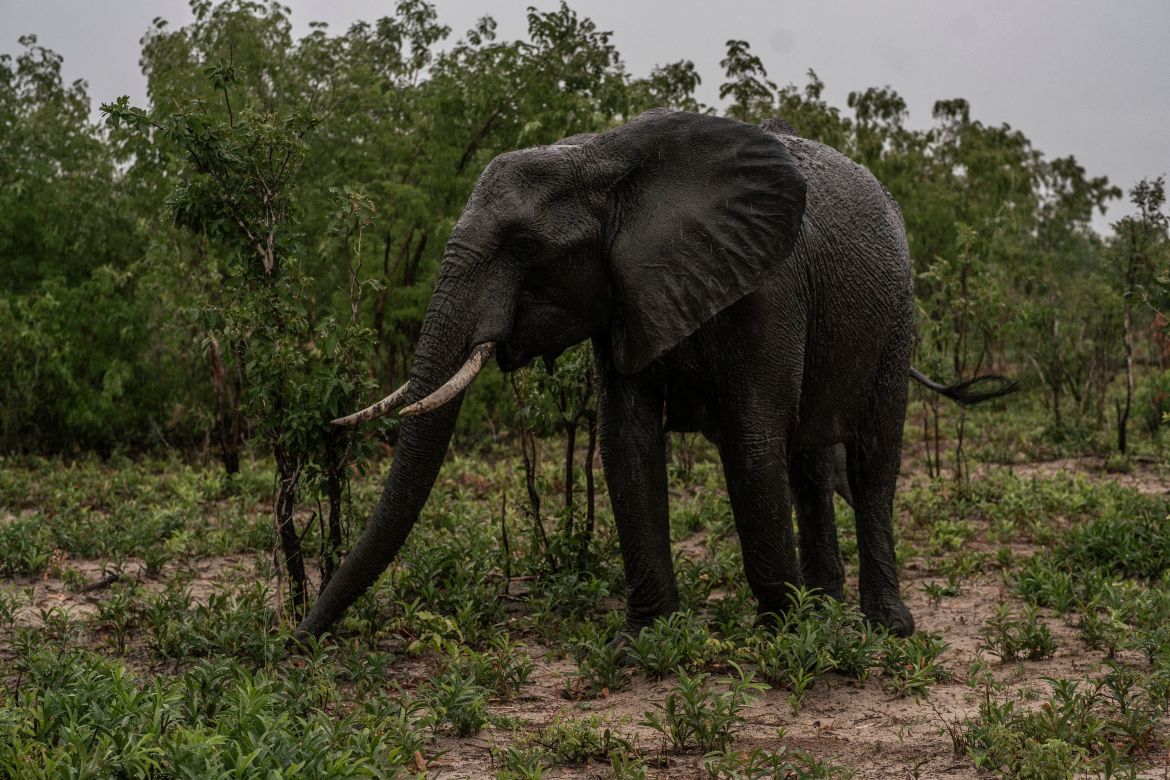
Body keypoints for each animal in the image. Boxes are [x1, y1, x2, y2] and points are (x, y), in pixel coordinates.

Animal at [297, 108, 1013, 641]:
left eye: (525, 247)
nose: (296, 642)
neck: (604, 160)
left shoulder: (771, 286)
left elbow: (751, 443)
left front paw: (783, 639)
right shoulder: (623, 295)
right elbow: (627, 442)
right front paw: (646, 642)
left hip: (897, 313)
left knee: (870, 459)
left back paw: (883, 628)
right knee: (809, 464)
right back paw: (829, 611)